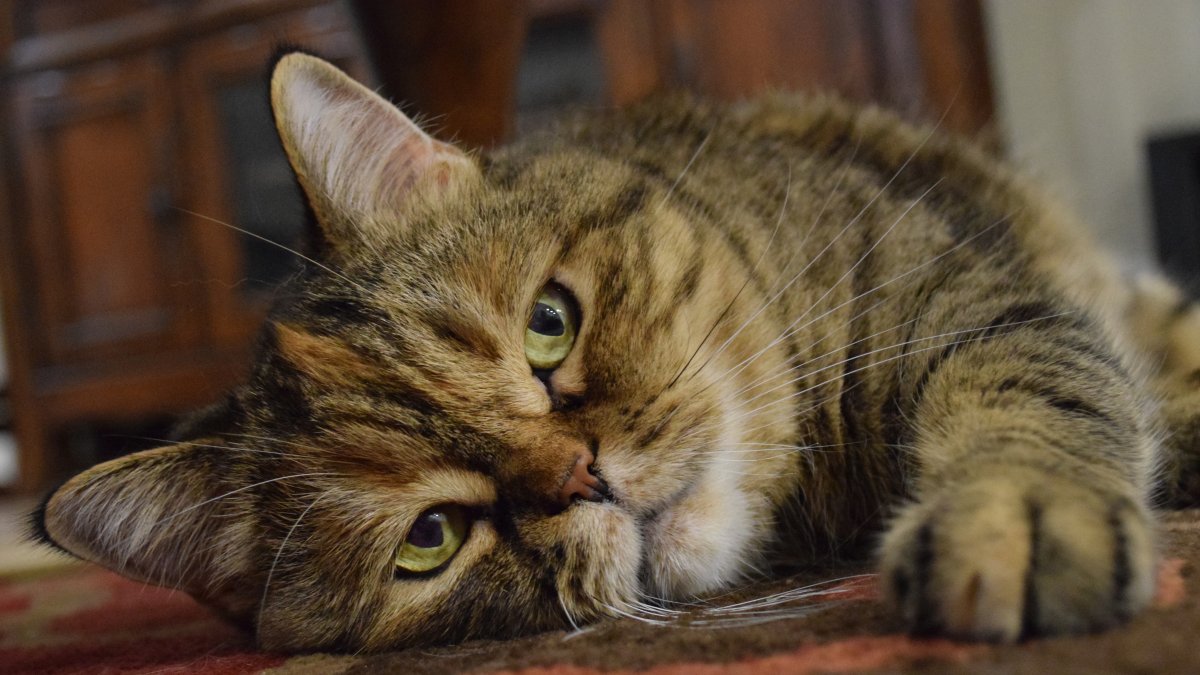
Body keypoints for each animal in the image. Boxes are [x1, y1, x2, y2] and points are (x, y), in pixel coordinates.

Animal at [32, 49, 1200, 648]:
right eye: (430, 539)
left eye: (549, 324)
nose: (583, 476)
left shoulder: (966, 300)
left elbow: (1037, 393)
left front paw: (1017, 512)